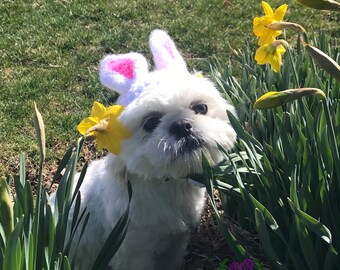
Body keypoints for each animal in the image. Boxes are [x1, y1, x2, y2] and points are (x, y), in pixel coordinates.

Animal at [63, 30, 236, 270]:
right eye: (151, 122)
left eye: (200, 108)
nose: (182, 125)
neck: (167, 183)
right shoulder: (133, 252)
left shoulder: (175, 242)